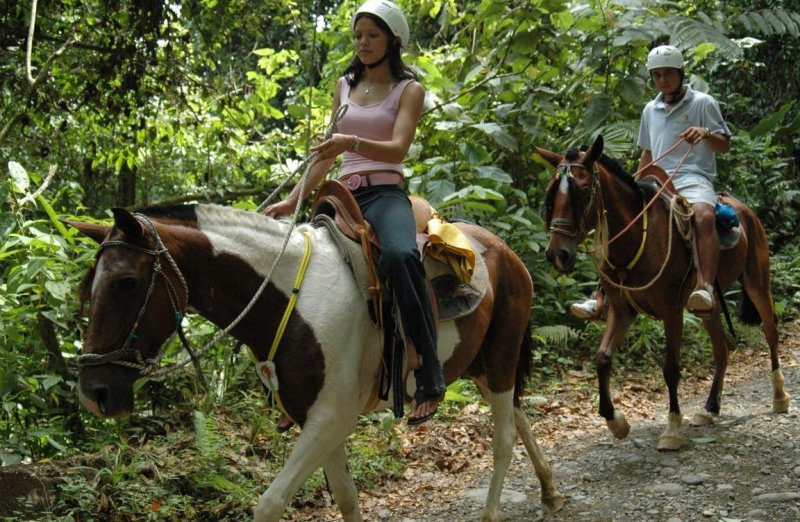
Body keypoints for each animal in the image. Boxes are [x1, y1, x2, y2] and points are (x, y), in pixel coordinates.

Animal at [67, 203, 564, 520]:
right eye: (88, 285)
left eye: (127, 283)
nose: (93, 393)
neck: (291, 297)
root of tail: (506, 251)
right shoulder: (320, 418)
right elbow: (346, 497)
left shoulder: (332, 417)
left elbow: (269, 504)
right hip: (481, 366)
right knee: (519, 416)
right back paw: (551, 490)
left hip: (500, 359)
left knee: (503, 438)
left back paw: (494, 512)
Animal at [536, 136, 788, 448]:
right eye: (550, 193)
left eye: (582, 191)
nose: (557, 254)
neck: (636, 240)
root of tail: (742, 207)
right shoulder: (622, 310)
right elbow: (602, 358)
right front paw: (616, 422)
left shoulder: (671, 311)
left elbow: (670, 368)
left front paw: (672, 429)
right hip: (708, 307)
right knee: (722, 348)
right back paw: (709, 409)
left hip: (756, 281)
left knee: (770, 329)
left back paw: (779, 396)